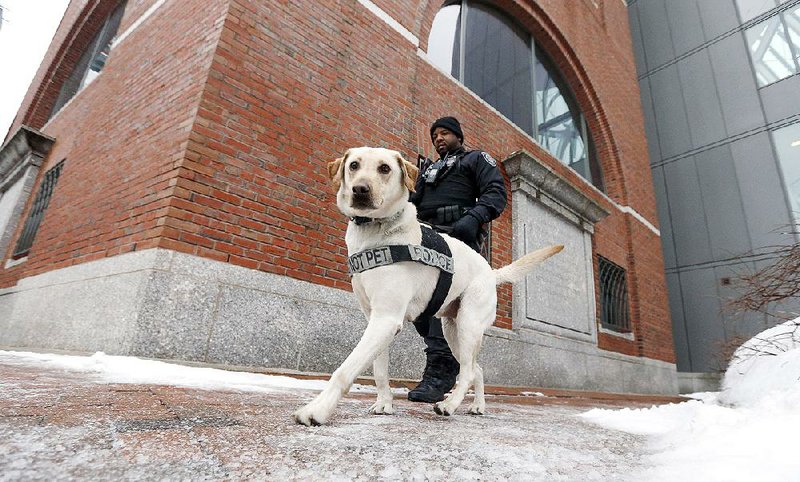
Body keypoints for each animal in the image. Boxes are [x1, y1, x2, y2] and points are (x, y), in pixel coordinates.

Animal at [294, 146, 564, 426]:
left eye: (384, 168)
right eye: (354, 165)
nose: (360, 189)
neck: (376, 232)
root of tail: (491, 272)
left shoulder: (386, 319)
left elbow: (346, 368)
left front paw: (317, 409)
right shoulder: (375, 319)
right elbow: (379, 370)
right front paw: (384, 404)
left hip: (468, 325)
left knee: (467, 372)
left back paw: (449, 405)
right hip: (452, 329)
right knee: (476, 368)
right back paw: (477, 406)